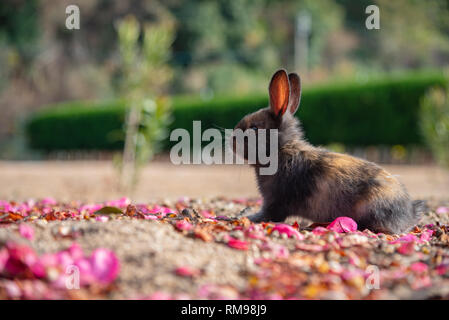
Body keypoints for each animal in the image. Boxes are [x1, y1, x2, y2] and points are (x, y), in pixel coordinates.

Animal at [233, 69, 426, 234]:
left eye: (254, 128)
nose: (232, 140)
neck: (282, 150)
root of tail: (409, 213)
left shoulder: (275, 203)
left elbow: (269, 214)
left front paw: (248, 217)